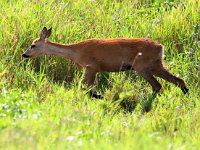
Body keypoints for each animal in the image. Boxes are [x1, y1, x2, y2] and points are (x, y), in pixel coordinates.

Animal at [22, 27, 189, 98]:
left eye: (33, 45)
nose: (24, 55)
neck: (75, 51)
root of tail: (161, 47)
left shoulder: (91, 66)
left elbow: (85, 87)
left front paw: (100, 96)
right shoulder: (95, 69)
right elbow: (88, 87)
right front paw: (100, 96)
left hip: (141, 66)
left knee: (157, 85)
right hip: (156, 64)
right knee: (178, 80)